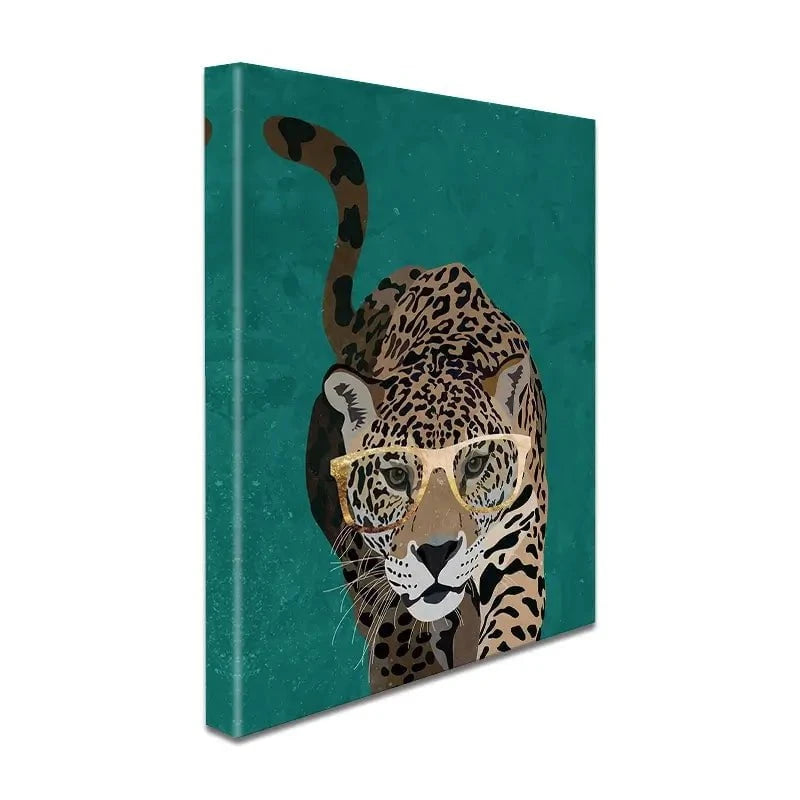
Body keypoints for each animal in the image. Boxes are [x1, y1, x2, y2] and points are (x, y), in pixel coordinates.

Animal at [264, 116, 548, 692]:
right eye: (396, 476)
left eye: (476, 466)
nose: (437, 553)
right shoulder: (367, 550)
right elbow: (395, 617)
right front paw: (405, 666)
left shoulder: (519, 537)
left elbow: (513, 617)